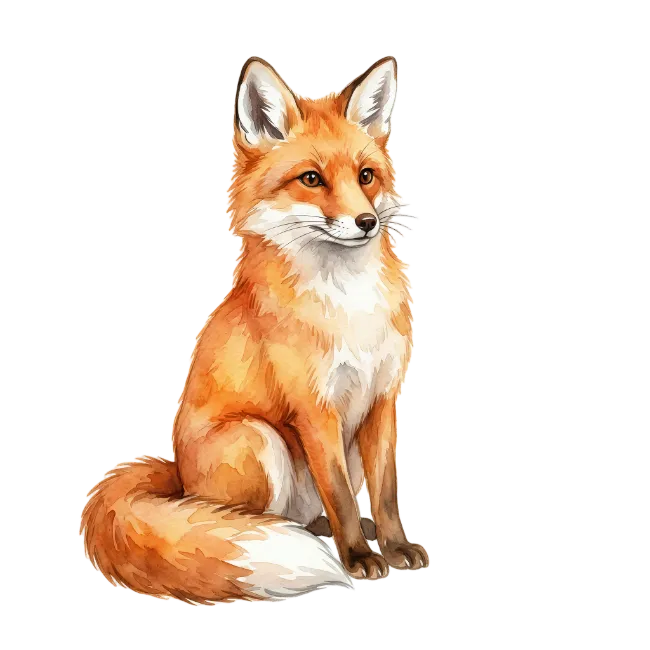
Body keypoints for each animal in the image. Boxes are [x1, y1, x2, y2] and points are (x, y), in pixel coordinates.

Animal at [79, 54, 429, 605]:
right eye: (312, 179)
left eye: (367, 175)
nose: (367, 222)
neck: (347, 304)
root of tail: (175, 477)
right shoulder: (314, 408)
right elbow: (342, 496)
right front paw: (359, 558)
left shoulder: (381, 397)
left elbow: (386, 492)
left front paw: (395, 547)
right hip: (257, 438)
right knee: (238, 524)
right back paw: (286, 545)